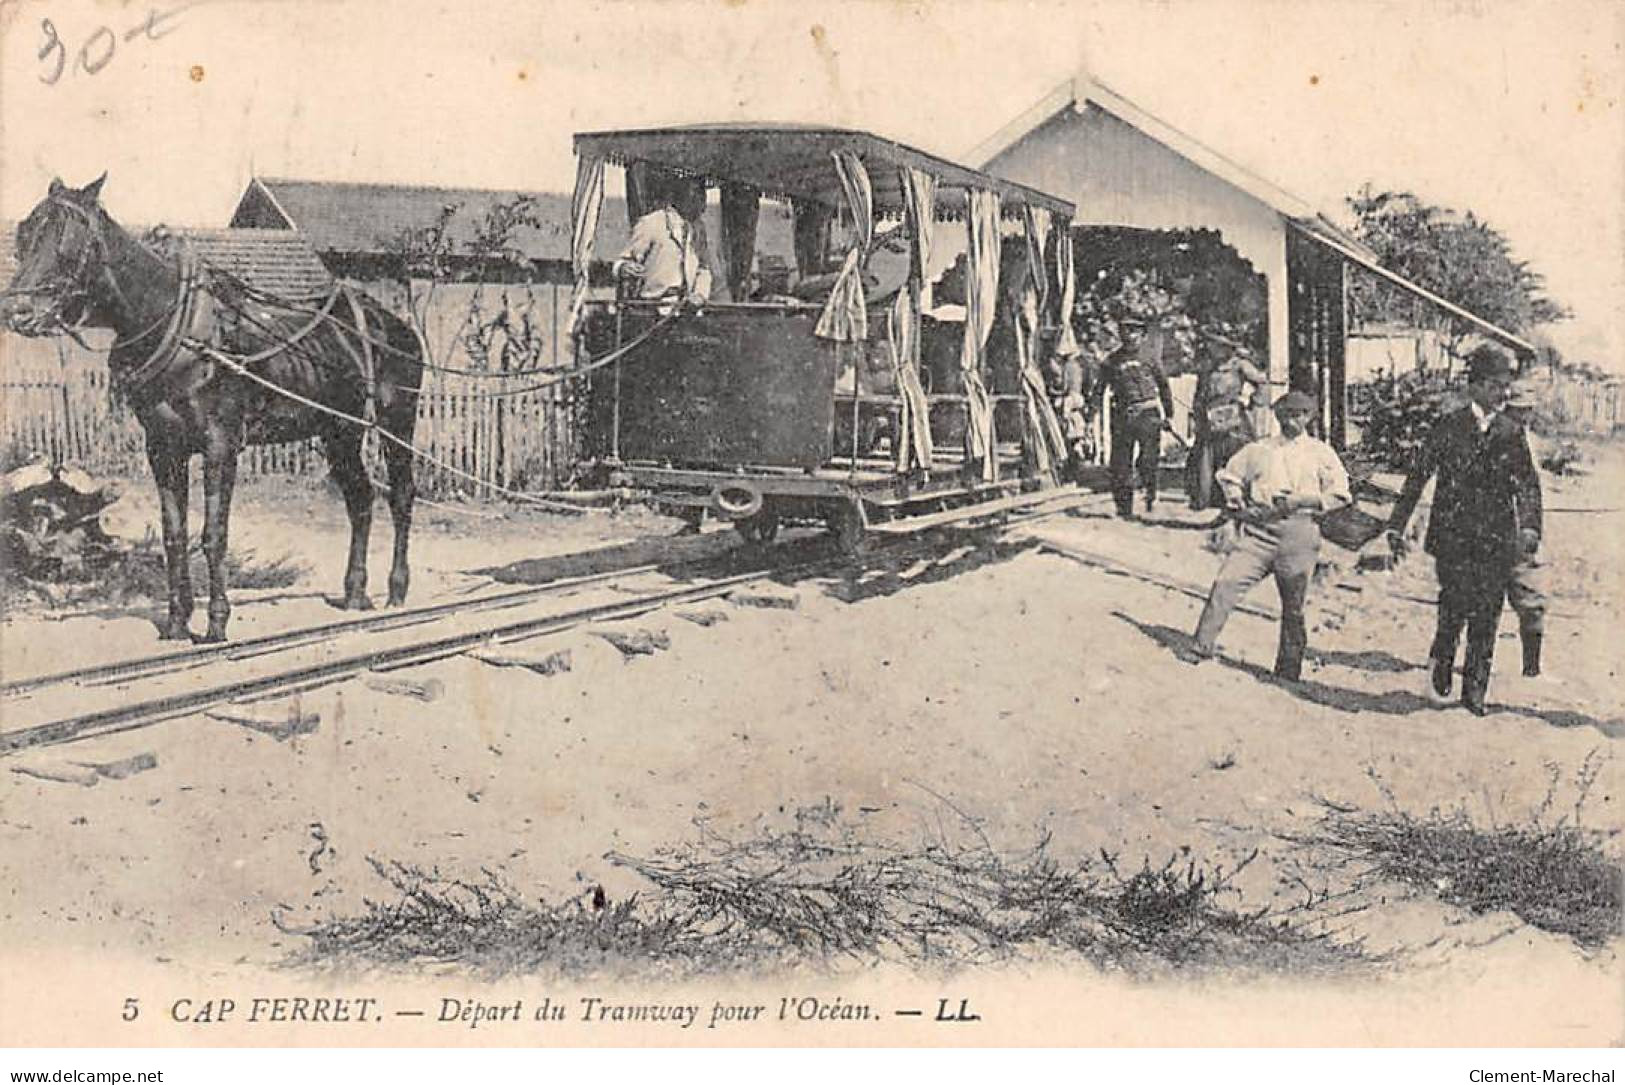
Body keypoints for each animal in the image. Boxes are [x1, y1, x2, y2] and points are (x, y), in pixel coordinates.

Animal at [0, 173, 425, 639]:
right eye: (25, 234)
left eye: (67, 238)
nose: (16, 311)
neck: (175, 324)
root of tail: (396, 325)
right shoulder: (163, 447)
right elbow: (174, 534)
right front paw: (175, 623)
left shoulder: (221, 445)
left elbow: (213, 533)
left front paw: (217, 623)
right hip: (340, 432)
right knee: (361, 499)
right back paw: (355, 594)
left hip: (397, 421)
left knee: (401, 496)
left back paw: (397, 590)